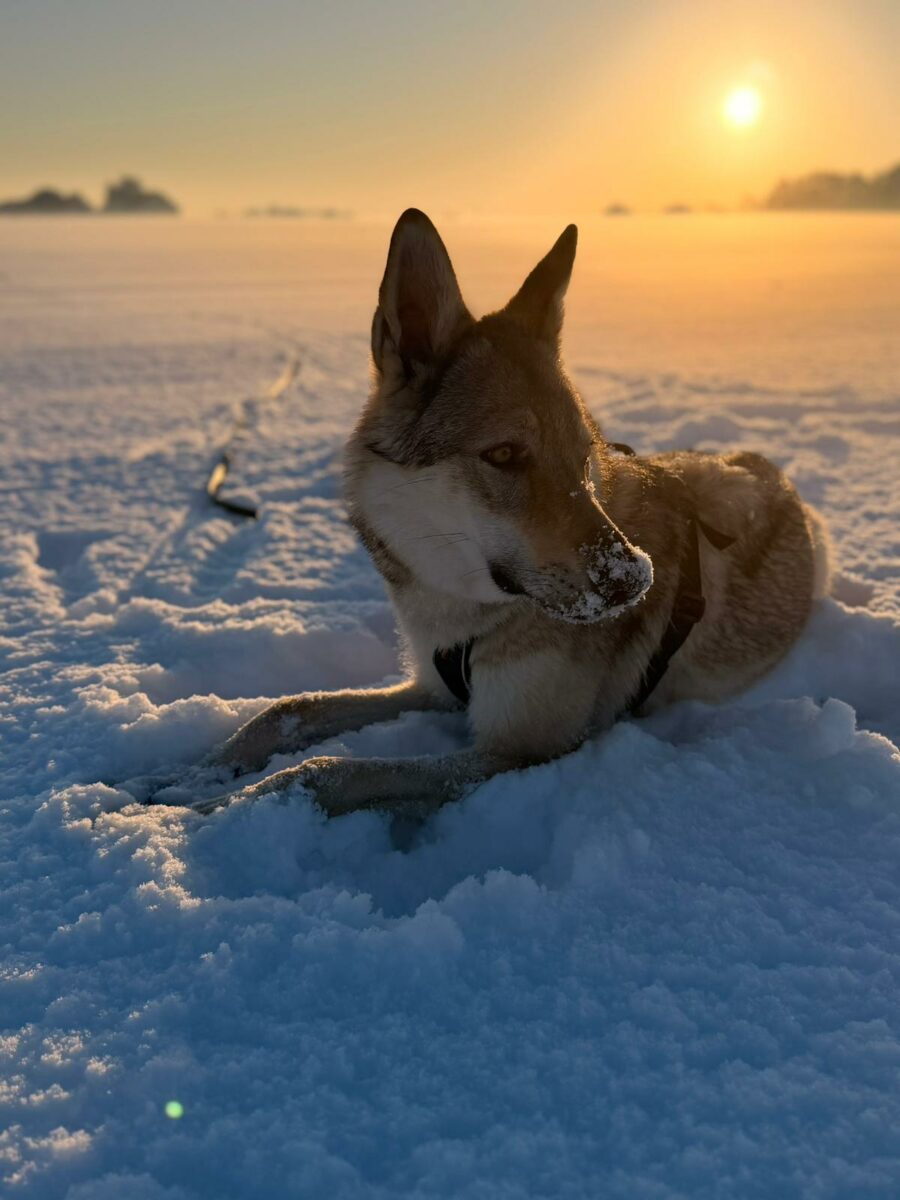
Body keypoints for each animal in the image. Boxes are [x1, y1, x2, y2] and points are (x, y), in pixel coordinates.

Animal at [176, 209, 830, 818]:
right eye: (506, 455)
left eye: (584, 456)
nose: (633, 580)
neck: (467, 615)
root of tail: (764, 465)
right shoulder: (431, 688)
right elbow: (287, 709)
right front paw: (185, 778)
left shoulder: (520, 752)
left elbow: (328, 771)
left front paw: (211, 812)